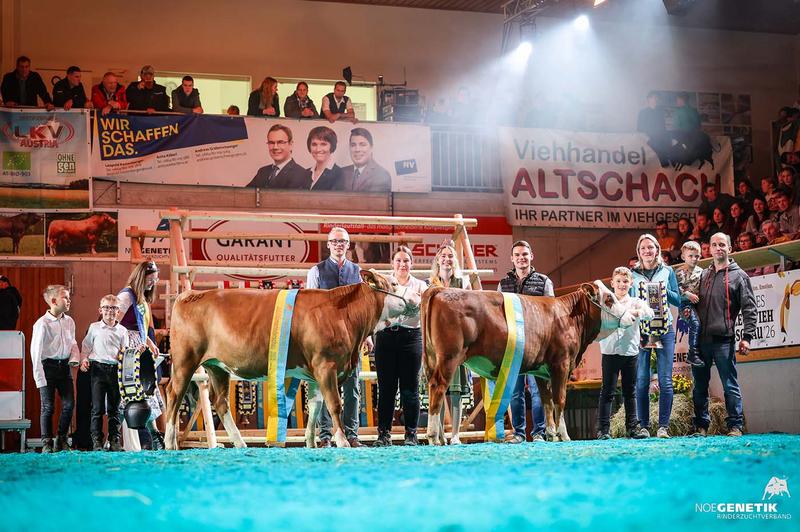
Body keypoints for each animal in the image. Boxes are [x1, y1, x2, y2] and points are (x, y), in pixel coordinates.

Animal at [164, 270, 421, 450]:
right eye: (395, 283)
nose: (418, 295)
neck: (344, 315)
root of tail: (190, 294)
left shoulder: (316, 372)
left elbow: (315, 407)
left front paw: (311, 442)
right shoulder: (326, 364)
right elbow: (334, 405)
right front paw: (342, 441)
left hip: (217, 365)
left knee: (220, 402)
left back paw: (239, 442)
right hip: (185, 359)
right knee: (174, 394)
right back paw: (169, 442)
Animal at [422, 281, 627, 445]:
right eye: (609, 298)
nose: (630, 316)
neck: (569, 316)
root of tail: (441, 289)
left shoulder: (541, 371)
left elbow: (546, 401)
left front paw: (551, 435)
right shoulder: (561, 364)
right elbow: (560, 400)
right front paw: (564, 435)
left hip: (432, 359)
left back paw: (440, 437)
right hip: (449, 356)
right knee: (438, 387)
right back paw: (433, 437)